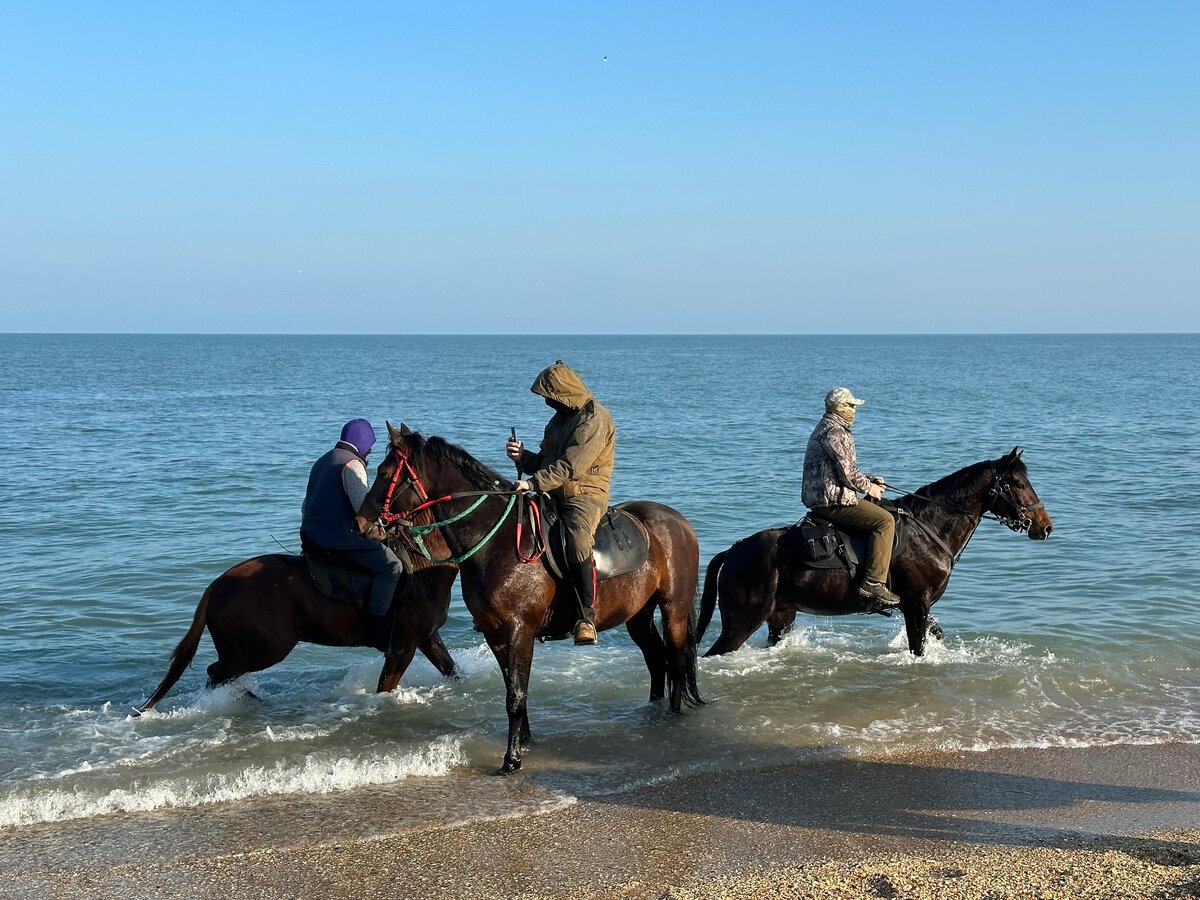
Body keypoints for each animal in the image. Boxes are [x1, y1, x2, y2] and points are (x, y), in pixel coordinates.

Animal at [137, 547, 458, 715]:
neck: (424, 566)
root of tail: (215, 587)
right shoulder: (403, 645)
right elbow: (386, 685)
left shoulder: (427, 638)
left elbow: (450, 669)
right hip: (264, 650)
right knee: (216, 673)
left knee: (221, 677)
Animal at [362, 424, 700, 777]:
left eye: (384, 471)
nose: (361, 520)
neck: (496, 541)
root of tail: (678, 521)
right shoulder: (496, 635)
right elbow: (514, 690)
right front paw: (524, 742)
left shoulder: (518, 632)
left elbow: (515, 694)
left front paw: (512, 759)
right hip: (638, 615)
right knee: (656, 658)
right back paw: (652, 712)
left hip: (674, 609)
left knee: (676, 659)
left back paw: (672, 716)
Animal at [696, 448, 1051, 657]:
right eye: (1019, 483)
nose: (1045, 526)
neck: (929, 527)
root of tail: (733, 551)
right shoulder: (916, 603)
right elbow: (918, 646)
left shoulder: (920, 605)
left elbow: (937, 634)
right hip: (741, 622)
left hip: (780, 616)